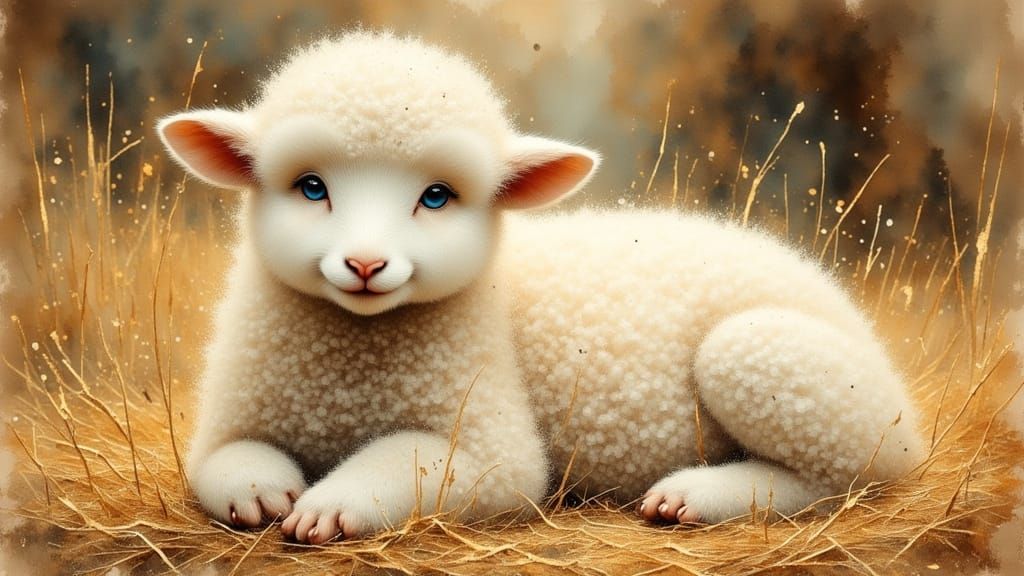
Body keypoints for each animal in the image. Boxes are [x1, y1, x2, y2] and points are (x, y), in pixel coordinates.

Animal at [158, 31, 926, 544]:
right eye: (311, 188)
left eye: (436, 197)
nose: (367, 264)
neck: (345, 374)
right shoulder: (227, 419)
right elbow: (219, 464)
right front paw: (263, 492)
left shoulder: (495, 445)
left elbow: (413, 458)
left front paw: (330, 505)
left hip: (775, 363)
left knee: (844, 476)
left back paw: (697, 496)